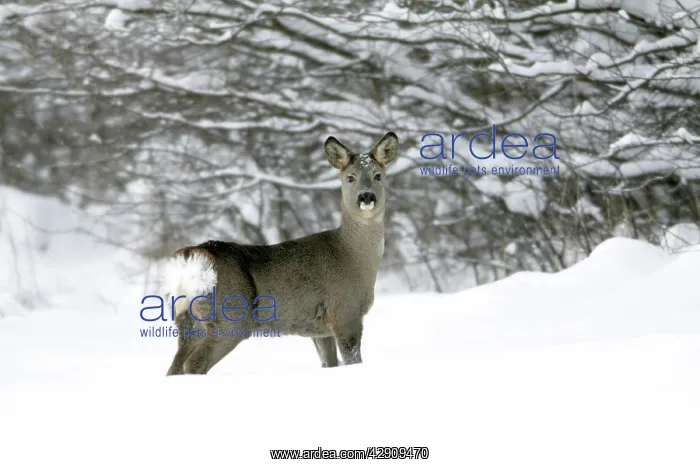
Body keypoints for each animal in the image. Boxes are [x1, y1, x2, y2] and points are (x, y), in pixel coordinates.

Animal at [163, 132, 398, 375]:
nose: (366, 197)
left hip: (186, 319)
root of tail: (189, 259)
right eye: (350, 178)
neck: (354, 257)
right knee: (193, 364)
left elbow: (329, 364)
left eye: (378, 175)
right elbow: (353, 360)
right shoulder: (345, 313)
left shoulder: (320, 329)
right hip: (230, 318)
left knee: (174, 366)